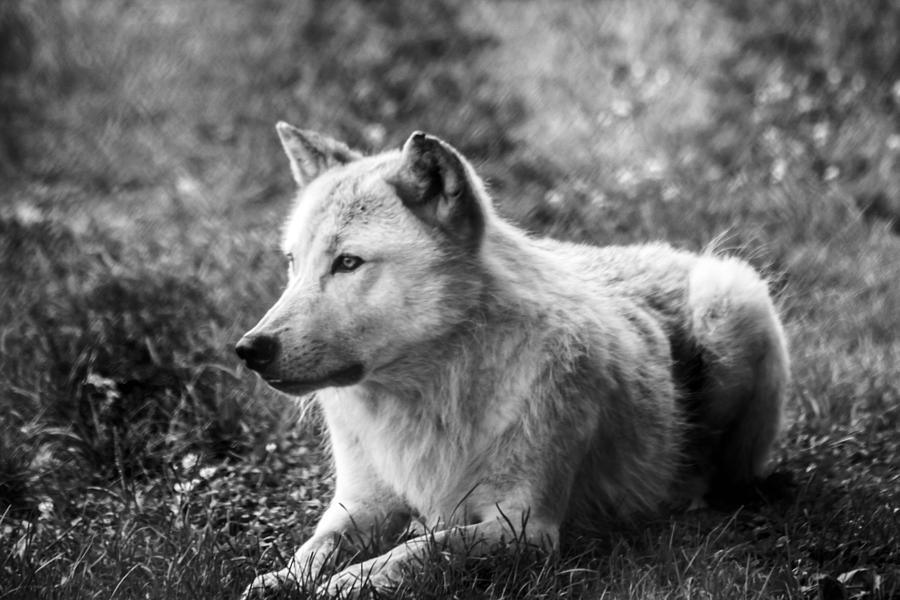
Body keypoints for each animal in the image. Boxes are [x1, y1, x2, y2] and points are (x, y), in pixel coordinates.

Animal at [236, 122, 792, 596]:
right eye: (292, 263)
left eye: (348, 263)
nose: (249, 350)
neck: (429, 397)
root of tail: (678, 251)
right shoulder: (358, 506)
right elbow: (314, 548)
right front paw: (280, 580)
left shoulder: (524, 525)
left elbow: (419, 550)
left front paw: (349, 583)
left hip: (730, 296)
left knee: (725, 476)